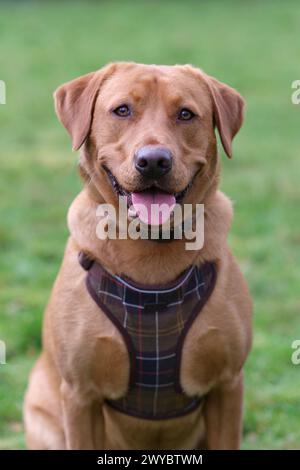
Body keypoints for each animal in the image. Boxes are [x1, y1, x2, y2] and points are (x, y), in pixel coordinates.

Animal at [24, 61, 253, 448]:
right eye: (122, 110)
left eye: (186, 114)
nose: (154, 161)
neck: (150, 248)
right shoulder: (80, 395)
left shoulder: (227, 385)